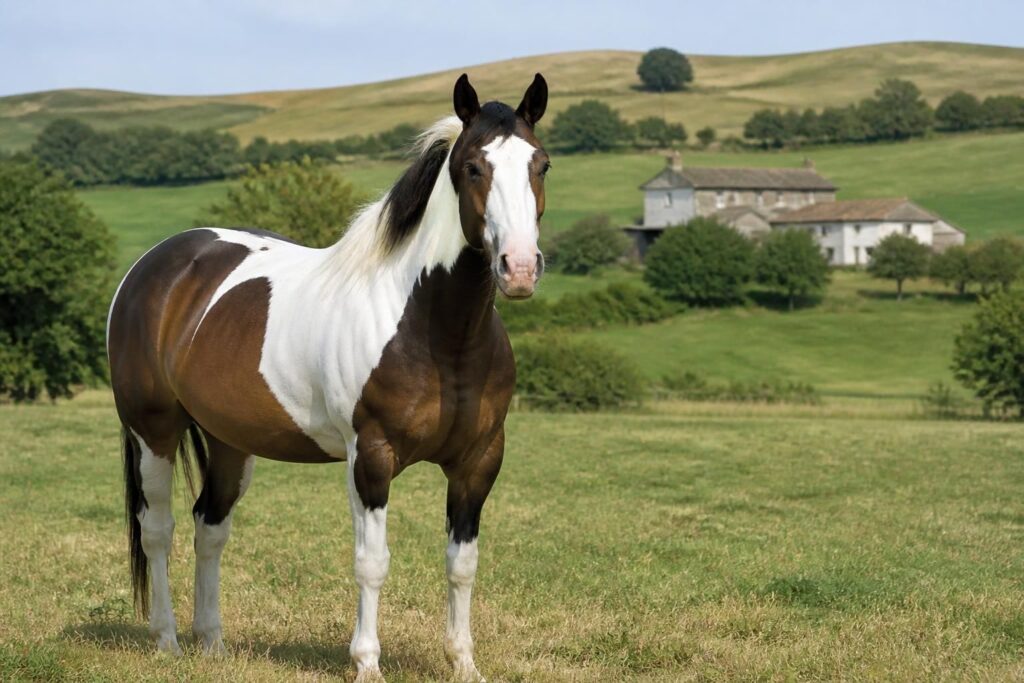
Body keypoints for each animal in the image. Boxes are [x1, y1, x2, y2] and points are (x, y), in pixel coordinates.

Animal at [106, 72, 549, 683]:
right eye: (472, 168)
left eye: (541, 165)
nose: (520, 268)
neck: (438, 332)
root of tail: (152, 266)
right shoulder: (372, 457)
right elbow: (372, 562)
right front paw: (366, 663)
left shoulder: (478, 461)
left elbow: (463, 563)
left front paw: (463, 663)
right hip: (153, 430)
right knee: (158, 528)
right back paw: (168, 641)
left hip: (228, 442)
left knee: (209, 527)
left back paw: (213, 643)